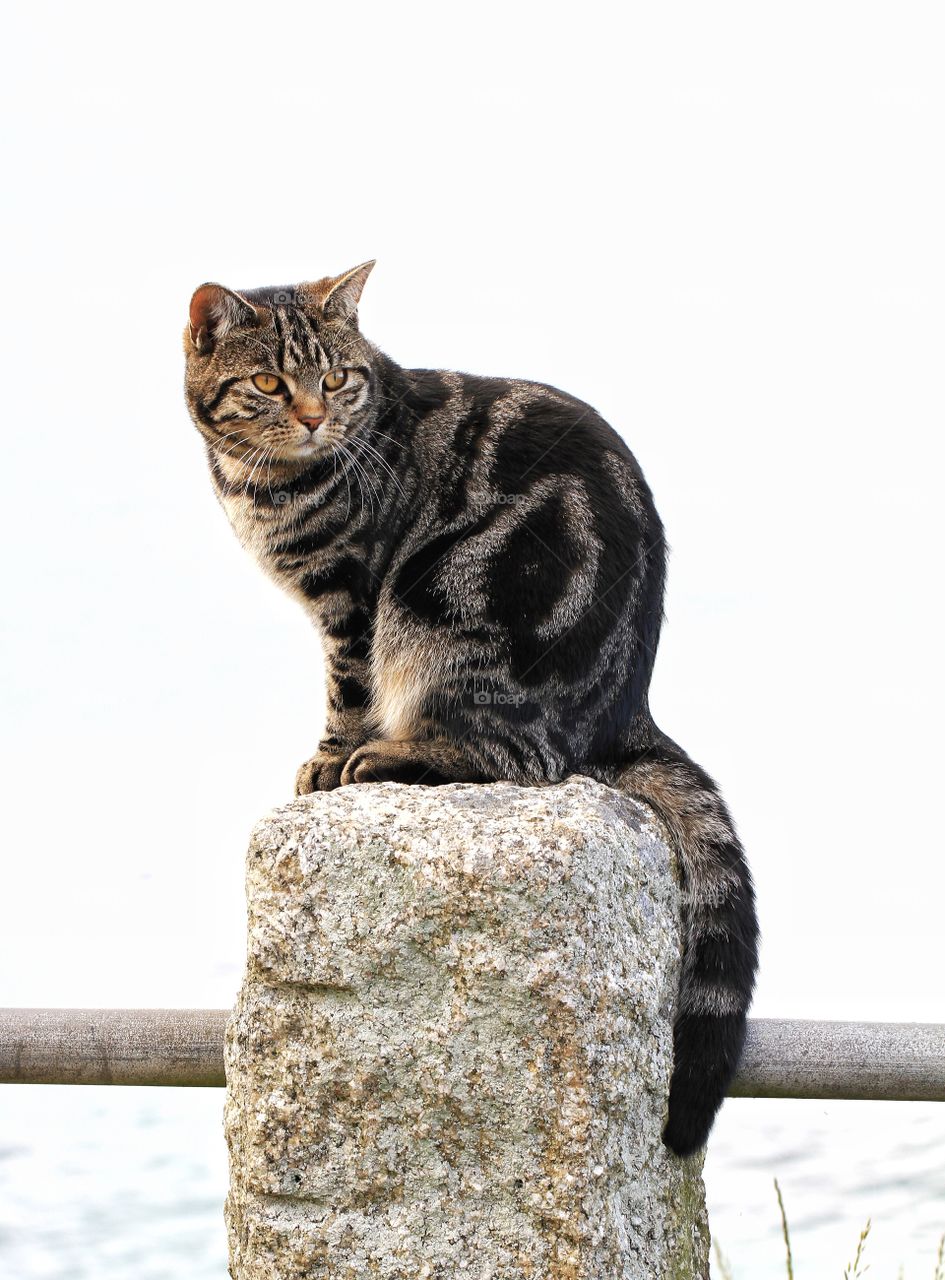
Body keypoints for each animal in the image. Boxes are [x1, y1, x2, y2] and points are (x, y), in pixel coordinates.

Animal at [184, 262, 758, 1162]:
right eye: (270, 384)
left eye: (336, 380)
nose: (313, 417)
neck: (263, 483)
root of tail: (623, 706)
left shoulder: (354, 597)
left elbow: (346, 689)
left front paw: (329, 754)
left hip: (438, 605)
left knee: (521, 759)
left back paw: (389, 756)